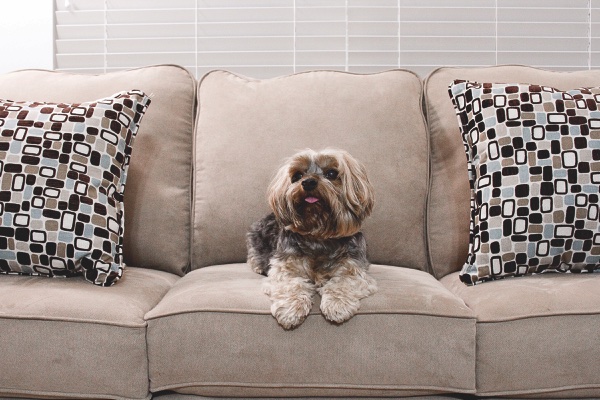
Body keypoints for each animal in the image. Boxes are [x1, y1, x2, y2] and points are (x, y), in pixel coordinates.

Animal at [246, 148, 378, 330]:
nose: (308, 182)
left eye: (332, 173)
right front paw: (290, 310)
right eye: (297, 175)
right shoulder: (284, 268)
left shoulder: (354, 270)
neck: (318, 235)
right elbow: (291, 284)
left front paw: (337, 305)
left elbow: (343, 283)